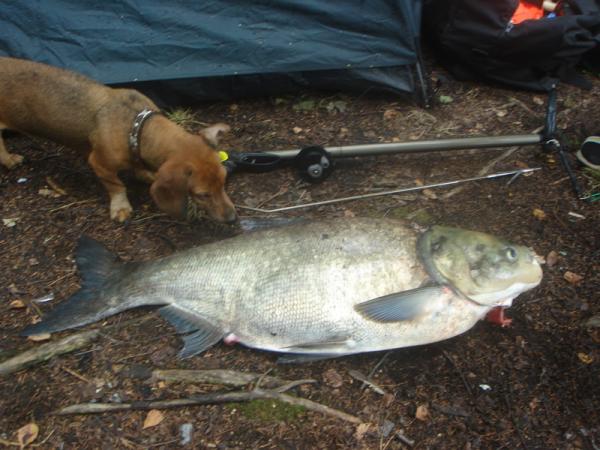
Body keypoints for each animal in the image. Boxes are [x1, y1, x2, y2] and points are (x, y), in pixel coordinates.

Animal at [0, 57, 239, 223]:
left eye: (223, 181)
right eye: (202, 194)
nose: (232, 219)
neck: (136, 125)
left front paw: (147, 174)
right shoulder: (99, 164)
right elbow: (117, 185)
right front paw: (121, 207)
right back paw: (9, 160)